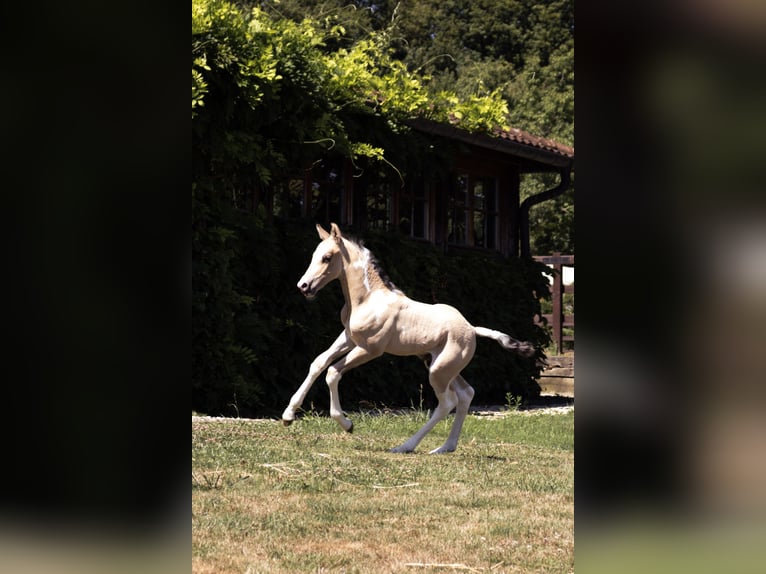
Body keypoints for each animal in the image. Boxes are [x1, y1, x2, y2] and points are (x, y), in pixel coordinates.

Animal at [281, 222, 535, 453]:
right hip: (440, 365)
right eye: (314, 255)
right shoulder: (349, 338)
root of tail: (472, 329)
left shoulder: (369, 349)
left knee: (447, 403)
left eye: (327, 258)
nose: (304, 286)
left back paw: (405, 446)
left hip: (439, 371)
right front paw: (288, 415)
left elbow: (333, 372)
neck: (368, 299)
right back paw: (445, 447)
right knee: (466, 394)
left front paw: (347, 424)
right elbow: (318, 363)